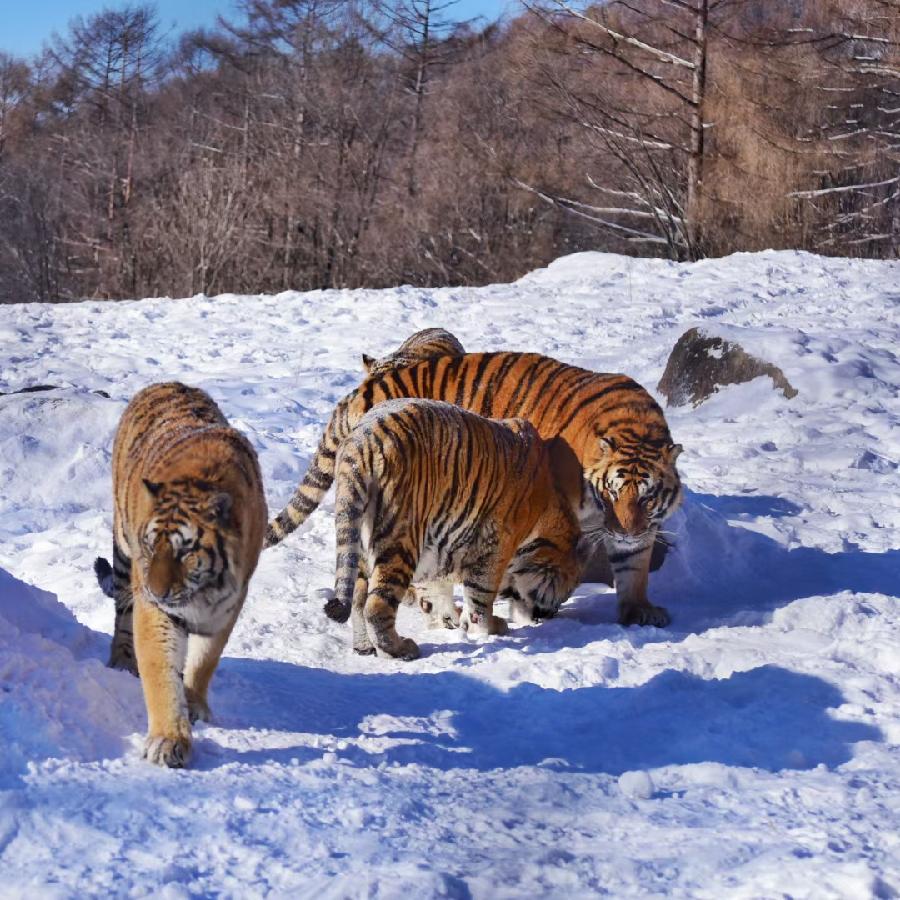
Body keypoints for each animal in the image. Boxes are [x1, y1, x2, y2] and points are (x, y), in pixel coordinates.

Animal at [94, 382, 267, 768]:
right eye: (150, 546)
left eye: (185, 552)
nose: (156, 592)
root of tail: (168, 383)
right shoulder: (157, 612)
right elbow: (160, 673)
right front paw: (168, 739)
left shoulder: (227, 606)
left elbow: (204, 661)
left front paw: (195, 704)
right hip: (123, 556)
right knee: (122, 614)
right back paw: (122, 660)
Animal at [266, 351, 683, 628]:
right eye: (611, 491)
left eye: (647, 496)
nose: (624, 532)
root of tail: (361, 391)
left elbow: (634, 569)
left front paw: (639, 610)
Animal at [323, 399, 588, 659]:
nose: (549, 615)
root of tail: (361, 441)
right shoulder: (496, 543)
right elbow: (480, 597)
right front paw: (487, 627)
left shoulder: (438, 549)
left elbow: (437, 591)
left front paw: (451, 619)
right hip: (401, 540)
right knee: (376, 606)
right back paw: (400, 650)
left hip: (361, 541)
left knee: (357, 599)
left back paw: (364, 647)